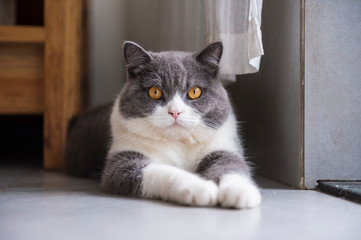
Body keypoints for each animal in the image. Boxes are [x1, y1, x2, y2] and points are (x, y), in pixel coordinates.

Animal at [64, 40, 260, 208]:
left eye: (194, 92)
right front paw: (201, 188)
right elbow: (163, 172)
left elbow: (232, 165)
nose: (175, 112)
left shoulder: (222, 146)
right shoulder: (121, 163)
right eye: (155, 92)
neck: (179, 143)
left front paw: (239, 193)